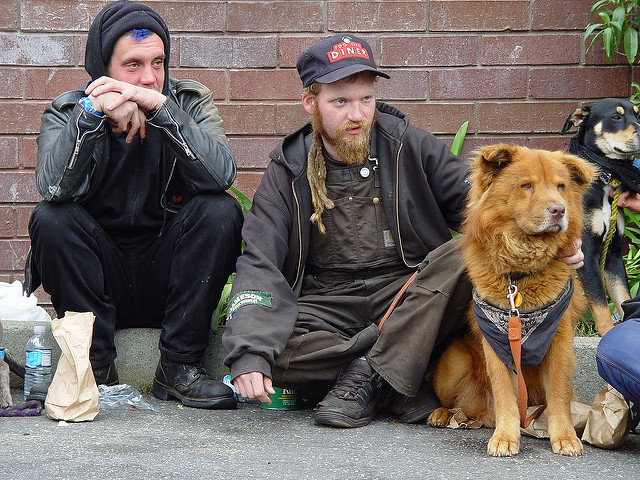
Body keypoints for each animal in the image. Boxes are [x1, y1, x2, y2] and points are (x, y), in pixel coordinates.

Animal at [428, 145, 596, 458]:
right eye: (526, 186)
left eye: (561, 187)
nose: (559, 210)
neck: (519, 273)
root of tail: (483, 416)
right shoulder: (496, 340)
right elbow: (505, 393)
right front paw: (505, 437)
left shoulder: (560, 341)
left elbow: (559, 394)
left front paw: (565, 437)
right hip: (453, 364)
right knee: (455, 404)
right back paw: (442, 414)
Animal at [560, 97, 640, 336]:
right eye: (615, 116)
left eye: (637, 115)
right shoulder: (586, 254)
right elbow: (602, 309)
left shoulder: (612, 254)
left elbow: (623, 299)